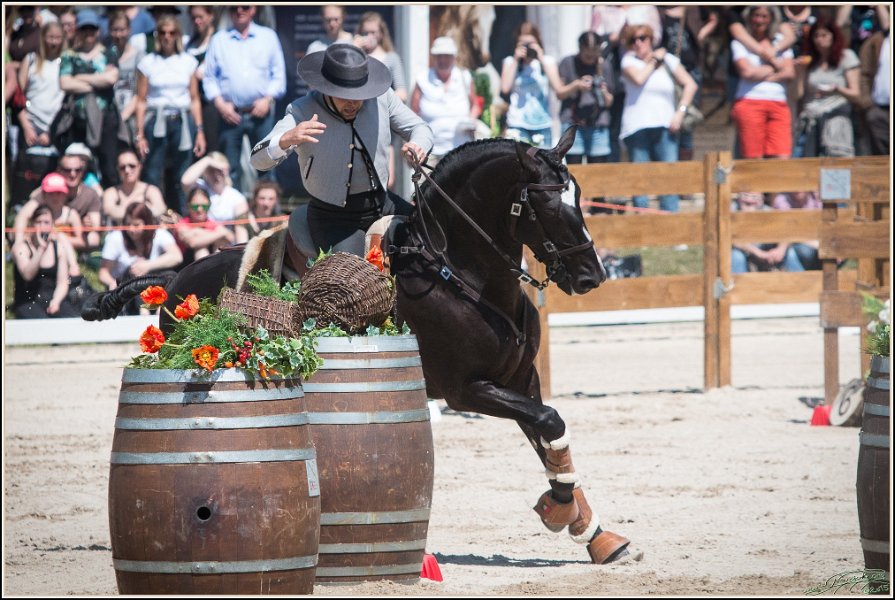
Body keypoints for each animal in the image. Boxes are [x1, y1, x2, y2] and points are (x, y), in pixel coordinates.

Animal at [82, 126, 633, 564]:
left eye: (579, 195)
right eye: (545, 202)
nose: (591, 275)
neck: (460, 273)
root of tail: (176, 277)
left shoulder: (520, 378)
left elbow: (548, 436)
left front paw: (591, 531)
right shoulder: (468, 390)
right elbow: (549, 423)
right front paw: (560, 511)